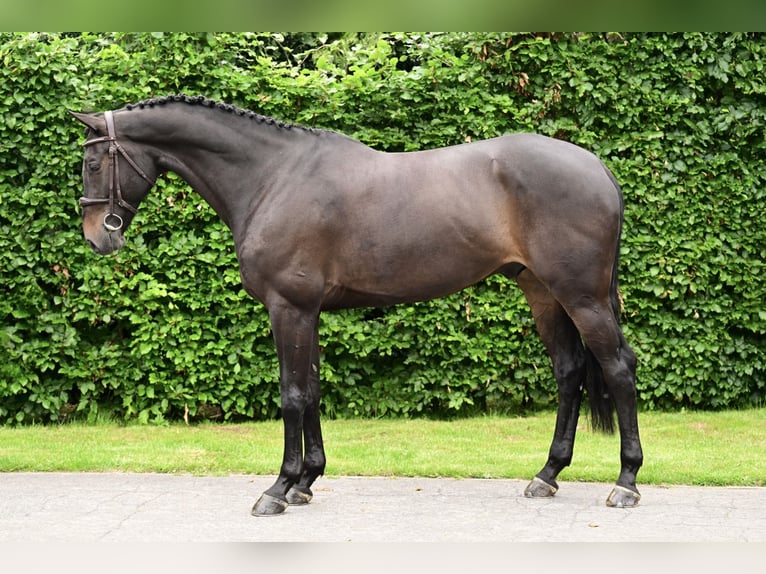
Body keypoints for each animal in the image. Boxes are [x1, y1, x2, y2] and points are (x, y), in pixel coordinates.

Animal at [70, 94, 643, 516]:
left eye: (93, 162)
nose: (98, 237)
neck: (273, 177)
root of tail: (596, 166)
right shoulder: (308, 312)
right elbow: (312, 391)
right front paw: (306, 481)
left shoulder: (289, 308)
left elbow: (292, 395)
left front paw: (277, 489)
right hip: (543, 293)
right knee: (570, 372)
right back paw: (547, 475)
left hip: (583, 297)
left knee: (617, 368)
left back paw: (626, 482)